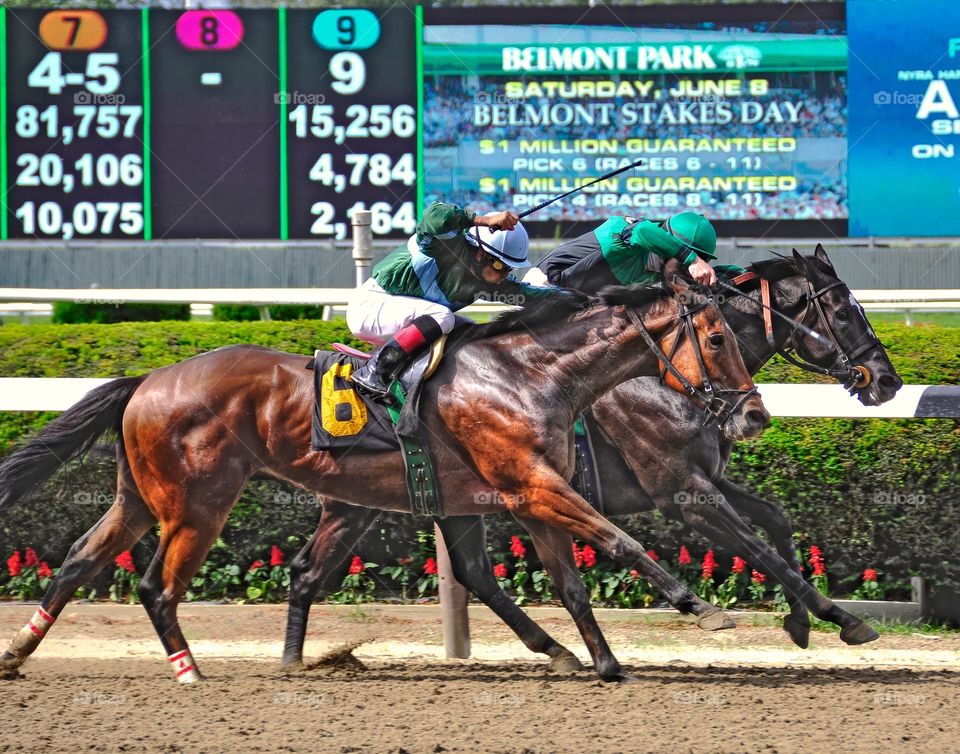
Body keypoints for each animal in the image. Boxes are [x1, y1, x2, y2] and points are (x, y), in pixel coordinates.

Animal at [0, 270, 764, 680]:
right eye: (716, 337)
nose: (753, 414)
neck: (530, 373)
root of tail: (148, 380)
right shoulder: (534, 485)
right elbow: (620, 541)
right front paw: (703, 609)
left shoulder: (529, 494)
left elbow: (573, 584)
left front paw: (599, 662)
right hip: (198, 505)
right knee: (156, 585)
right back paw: (189, 669)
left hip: (140, 497)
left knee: (78, 560)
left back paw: (18, 652)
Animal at [276, 245, 900, 676]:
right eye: (843, 309)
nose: (886, 381)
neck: (659, 375)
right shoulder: (681, 493)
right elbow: (758, 548)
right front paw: (844, 619)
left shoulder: (702, 478)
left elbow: (776, 520)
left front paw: (802, 621)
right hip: (374, 499)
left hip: (424, 497)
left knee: (453, 572)